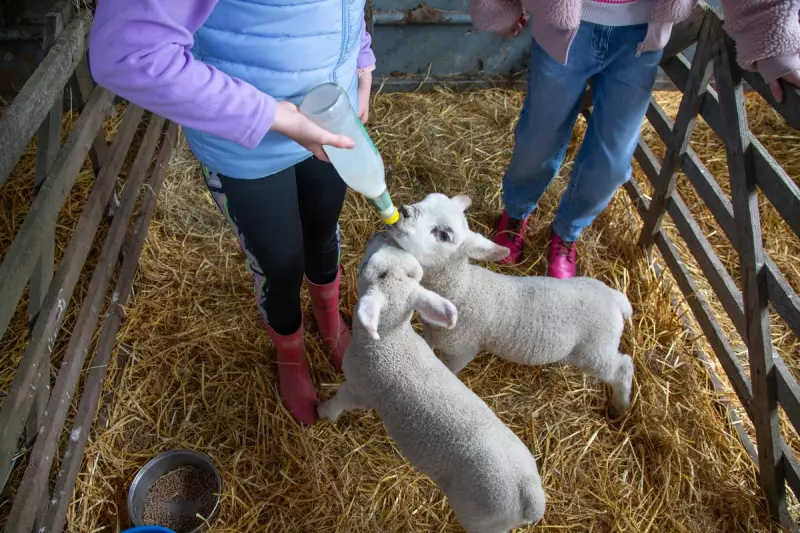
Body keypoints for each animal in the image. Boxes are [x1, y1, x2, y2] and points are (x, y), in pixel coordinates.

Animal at [317, 233, 545, 533]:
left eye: (372, 269)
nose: (381, 235)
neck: (390, 340)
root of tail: (529, 494)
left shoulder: (358, 387)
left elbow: (339, 402)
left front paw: (321, 412)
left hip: (482, 518)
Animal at [386, 193, 635, 419]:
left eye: (444, 234)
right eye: (424, 200)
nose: (404, 211)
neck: (462, 289)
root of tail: (614, 297)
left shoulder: (462, 350)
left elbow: (449, 369)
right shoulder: (432, 332)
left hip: (596, 350)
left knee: (623, 367)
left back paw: (619, 407)